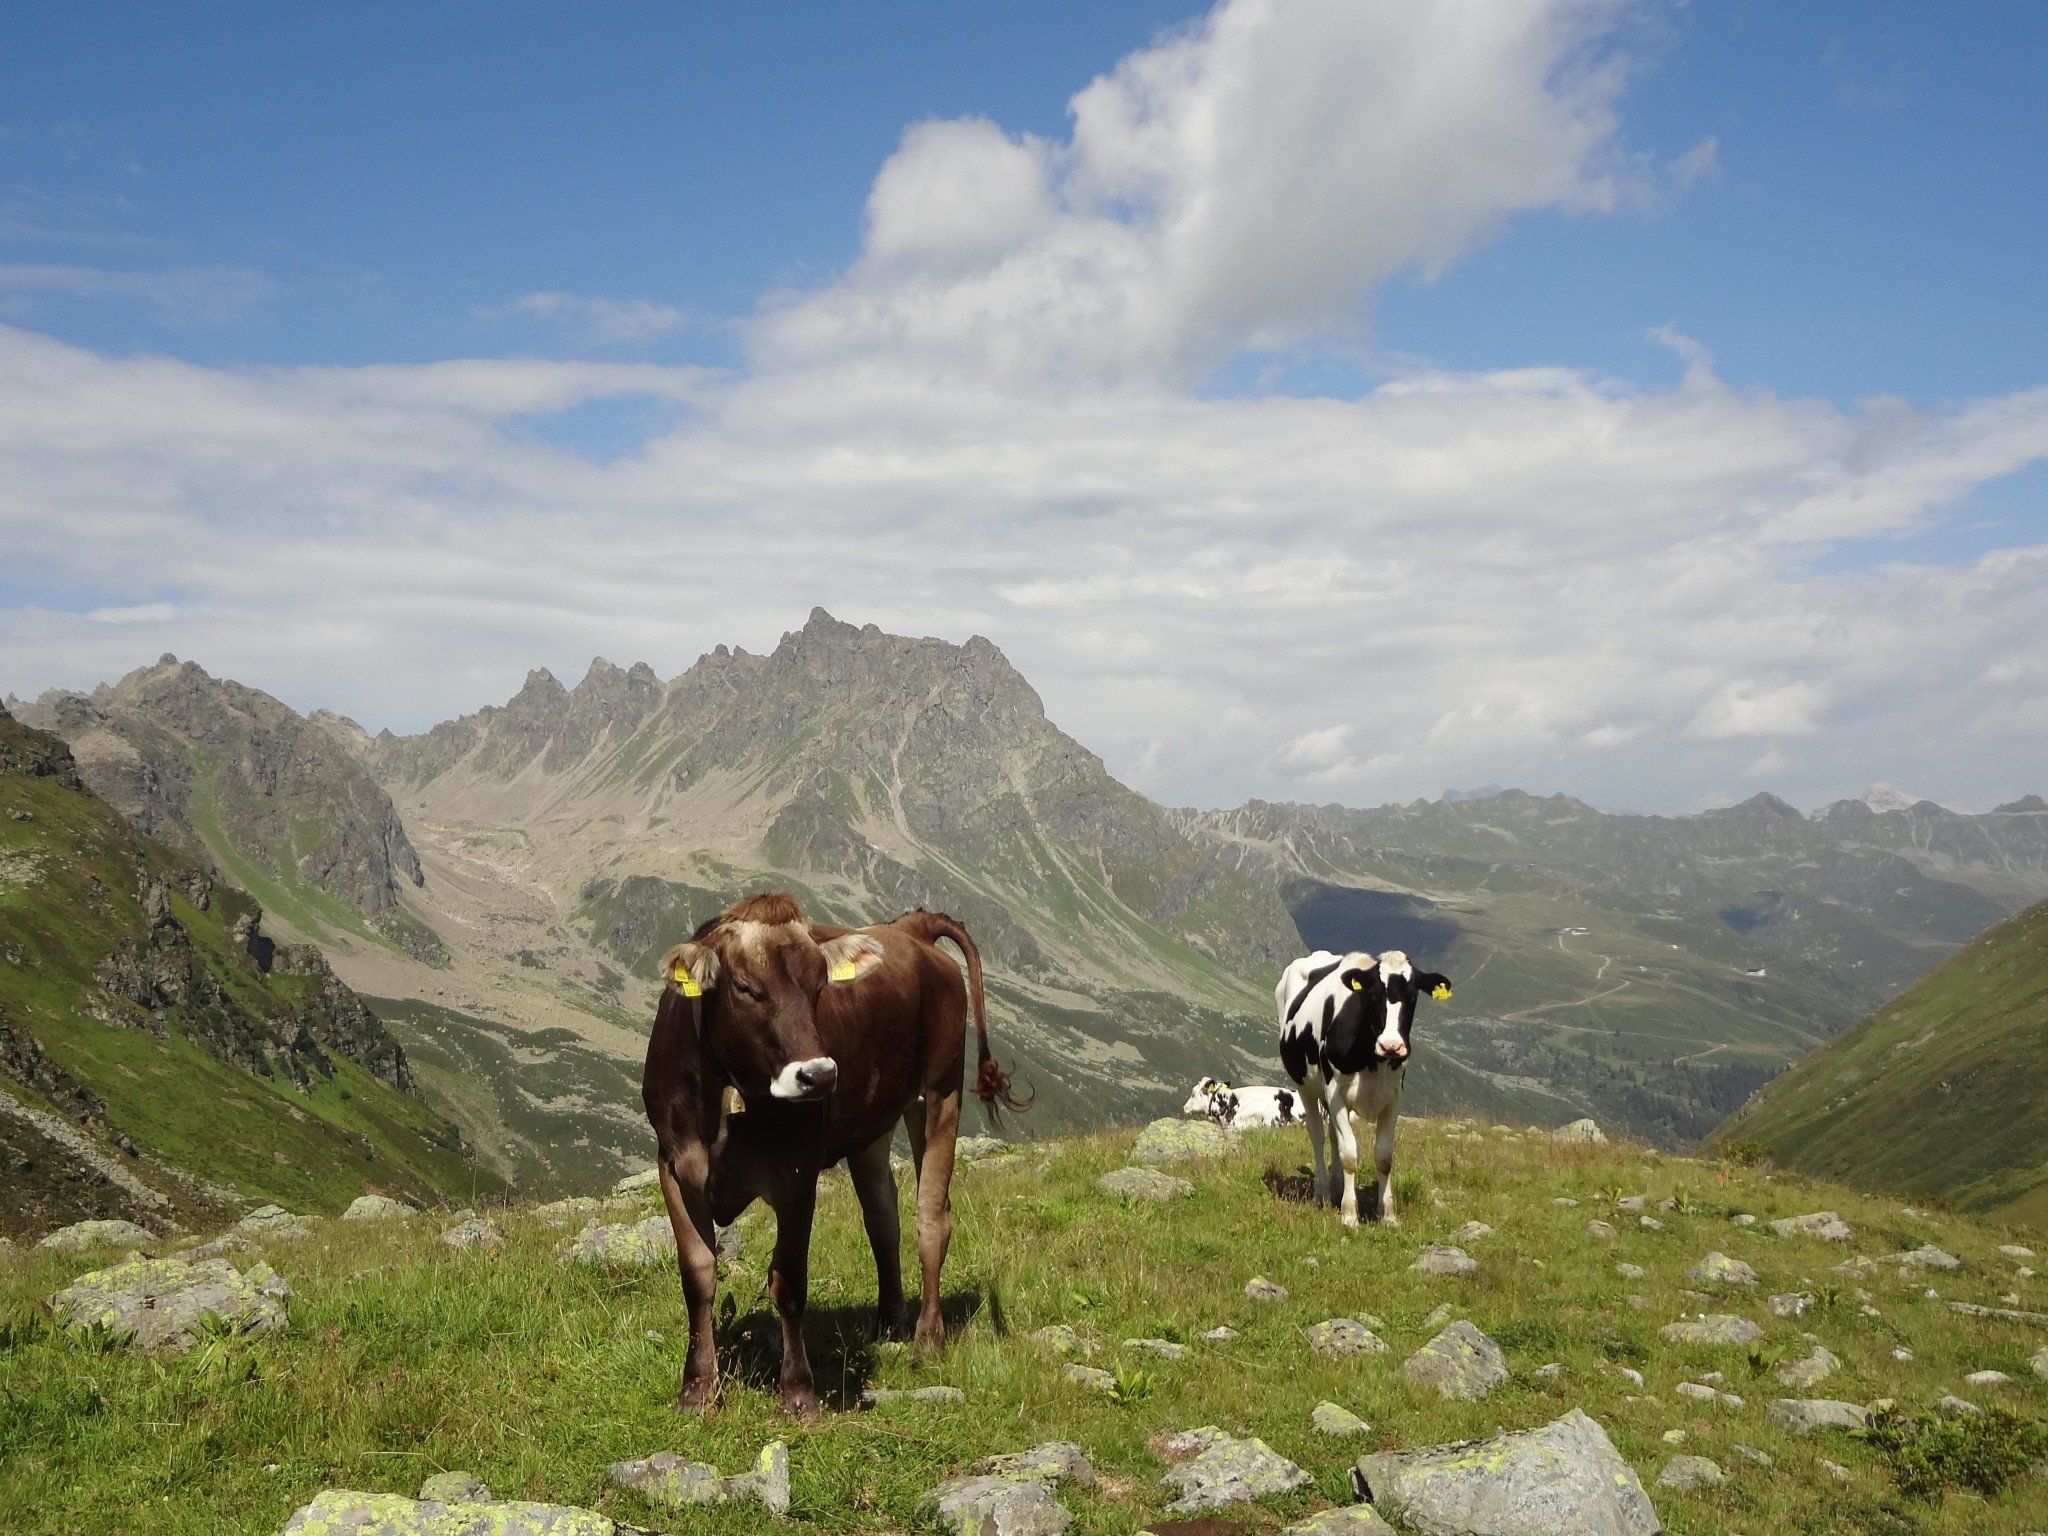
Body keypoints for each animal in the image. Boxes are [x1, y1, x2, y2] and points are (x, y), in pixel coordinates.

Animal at [643, 888, 1019, 1417]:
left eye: (819, 986)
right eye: (746, 988)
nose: (818, 1075)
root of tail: (910, 929)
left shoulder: (797, 1172)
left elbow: (789, 1281)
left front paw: (799, 1393)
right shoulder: (674, 1165)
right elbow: (697, 1275)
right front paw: (696, 1390)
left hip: (940, 1092)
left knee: (931, 1218)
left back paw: (928, 1337)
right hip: (871, 1127)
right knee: (883, 1218)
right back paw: (891, 1323)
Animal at [1277, 946, 1458, 1236]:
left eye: (1412, 996)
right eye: (1374, 994)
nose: (1391, 1046)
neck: (1372, 1060)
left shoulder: (1393, 1099)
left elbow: (1384, 1157)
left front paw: (1388, 1214)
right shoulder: (1336, 1094)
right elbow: (1350, 1154)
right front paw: (1350, 1215)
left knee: (1333, 1135)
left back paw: (1338, 1187)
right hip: (1305, 1087)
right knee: (1318, 1136)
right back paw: (1322, 1192)